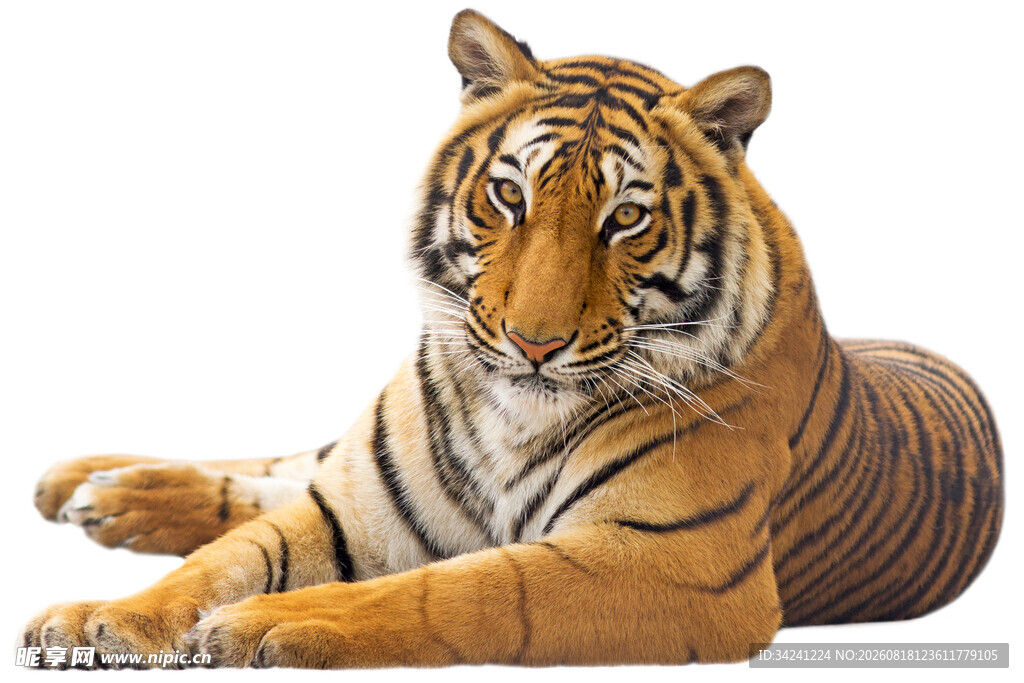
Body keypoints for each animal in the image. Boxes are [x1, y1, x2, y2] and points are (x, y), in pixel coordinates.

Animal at [21, 8, 1003, 668]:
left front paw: (275, 624)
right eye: (509, 196)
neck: (512, 414)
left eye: (626, 219)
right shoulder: (356, 505)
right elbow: (226, 558)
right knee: (279, 469)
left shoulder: (675, 562)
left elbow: (468, 587)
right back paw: (90, 485)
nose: (535, 343)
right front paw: (102, 619)